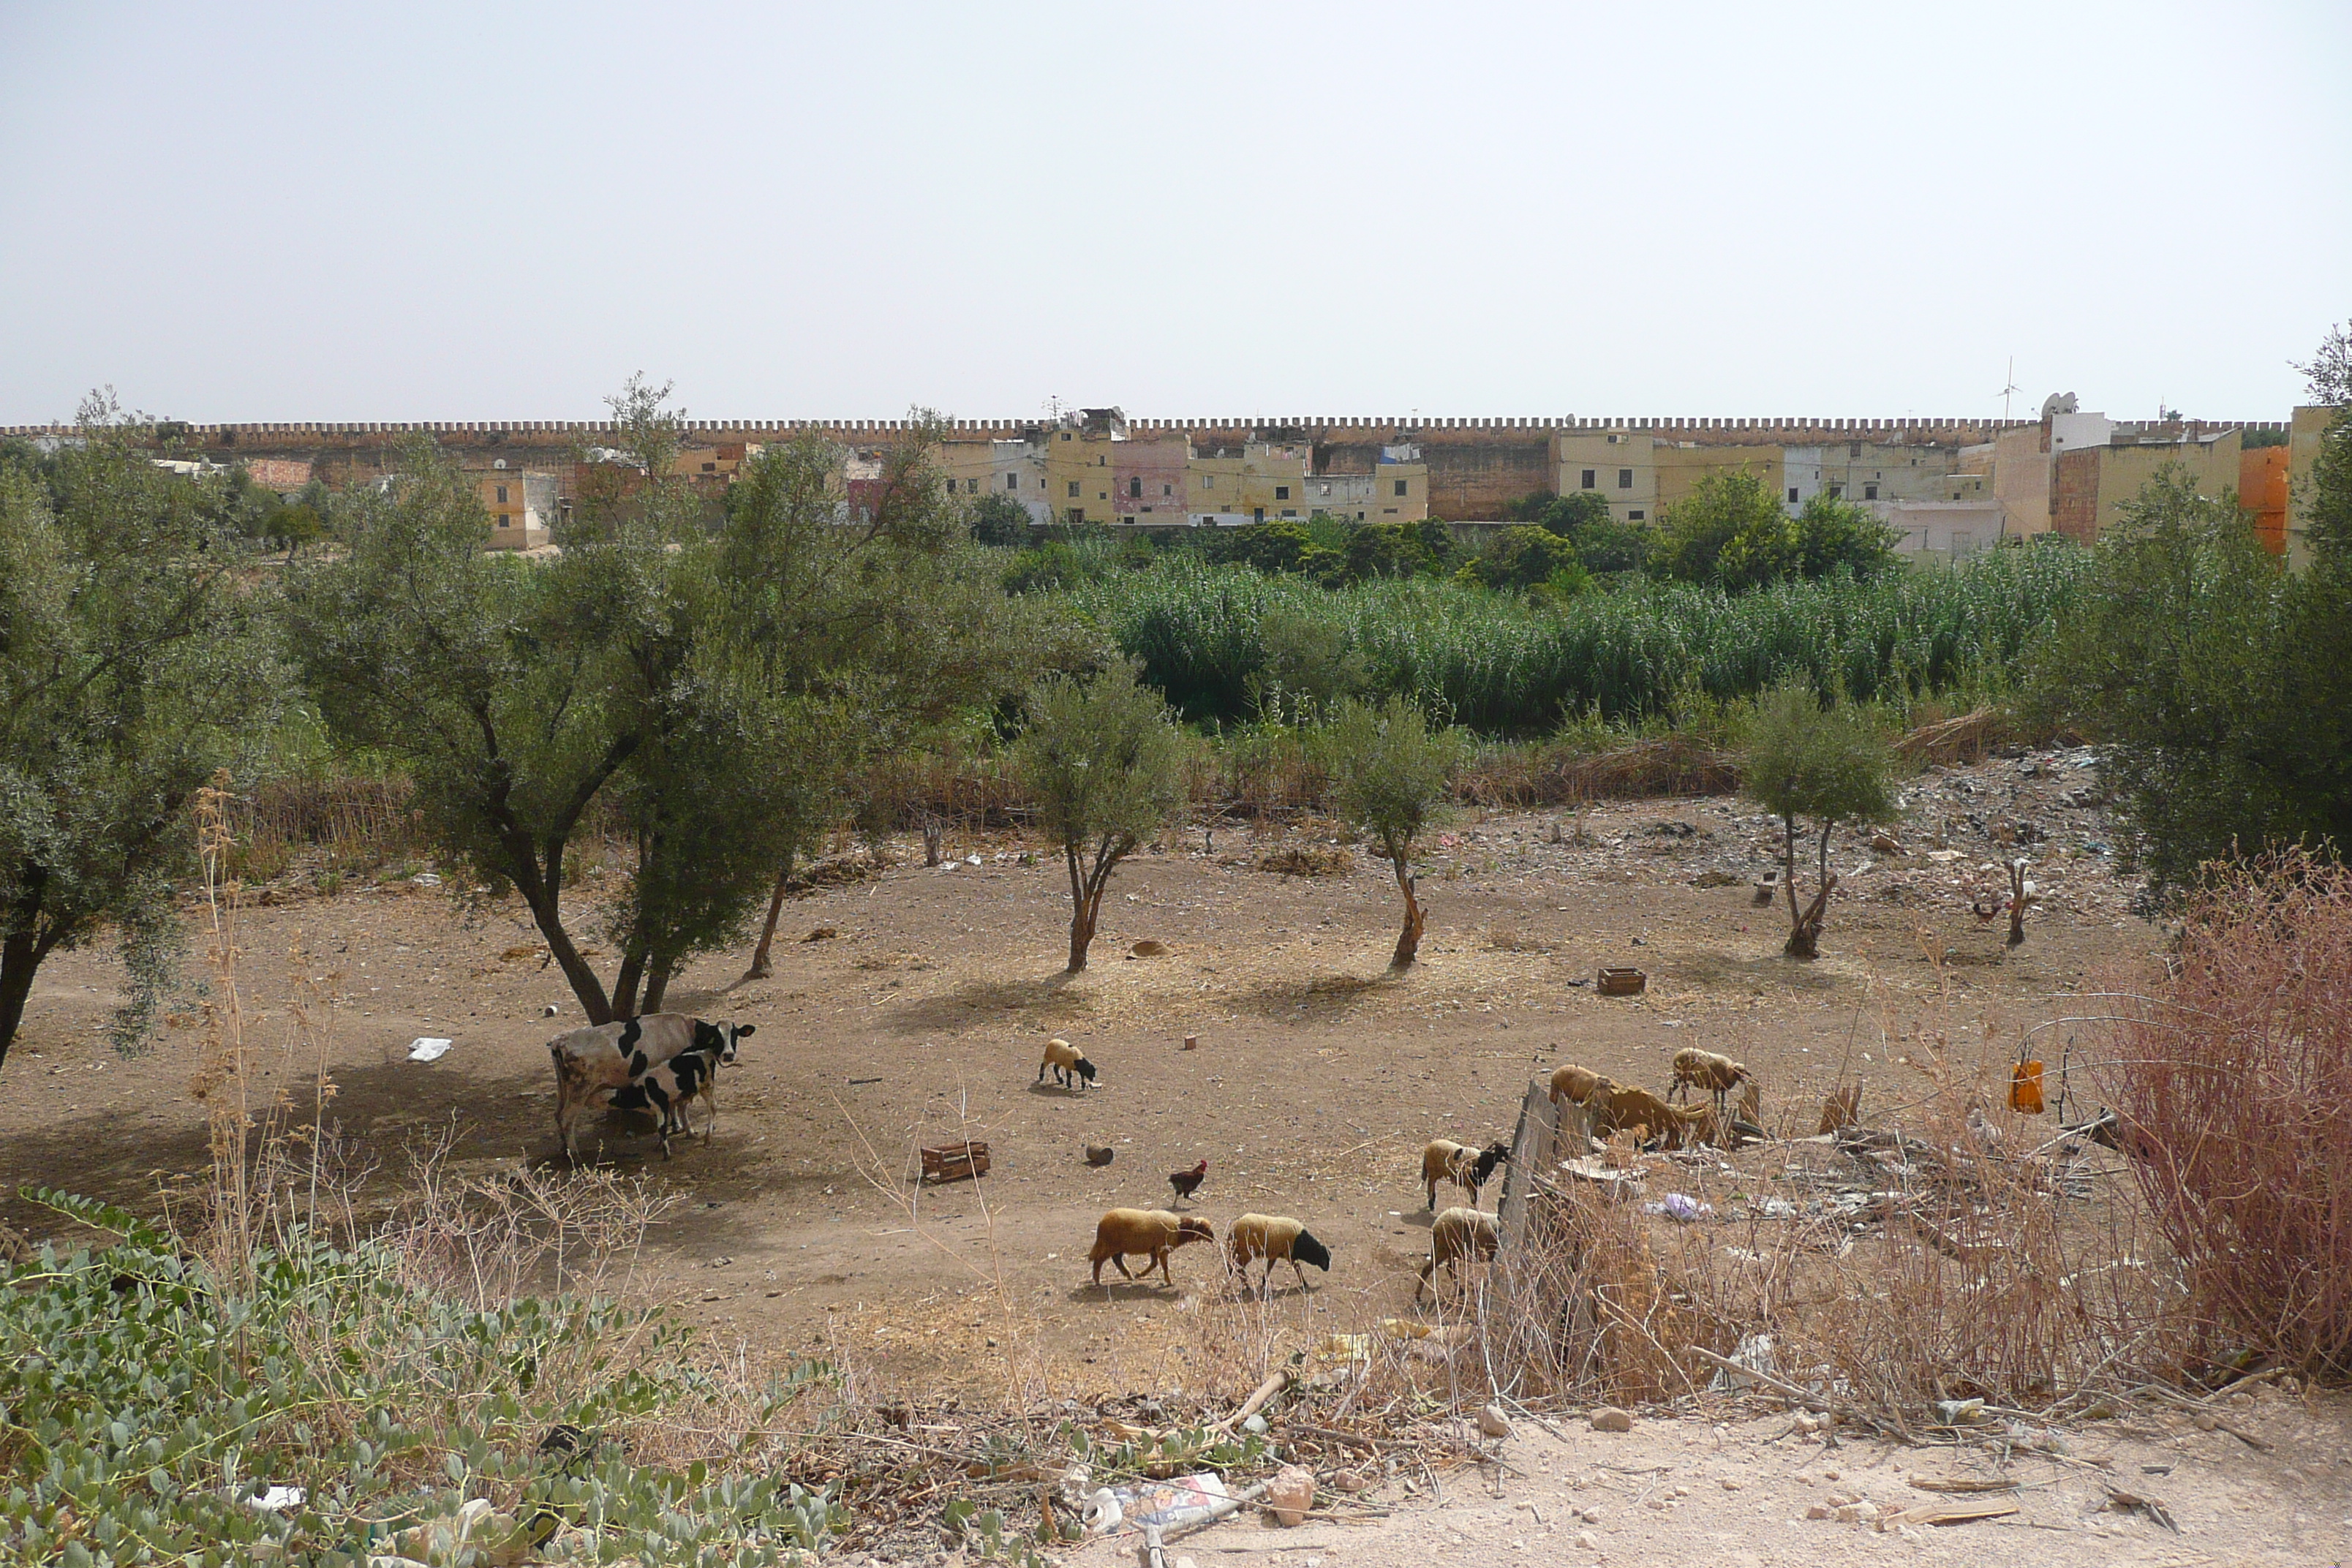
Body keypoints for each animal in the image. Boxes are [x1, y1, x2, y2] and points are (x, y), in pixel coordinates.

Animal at [548, 1020, 753, 1166]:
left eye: (734, 1036)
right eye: (717, 1037)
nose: (728, 1055)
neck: (685, 1029)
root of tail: (560, 1040)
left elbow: (674, 1104)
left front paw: (677, 1127)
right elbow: (681, 1105)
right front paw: (687, 1131)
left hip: (564, 1089)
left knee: (557, 1115)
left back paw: (564, 1150)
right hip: (580, 1090)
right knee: (567, 1118)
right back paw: (575, 1156)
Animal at [1082, 1213, 1213, 1288]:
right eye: (1204, 1228)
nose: (1213, 1237)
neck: (1180, 1228)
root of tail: (1101, 1224)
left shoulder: (1154, 1249)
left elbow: (1154, 1264)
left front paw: (1140, 1274)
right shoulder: (1162, 1249)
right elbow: (1164, 1266)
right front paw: (1169, 1282)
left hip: (1118, 1247)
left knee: (1117, 1260)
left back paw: (1129, 1276)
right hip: (1110, 1245)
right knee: (1099, 1260)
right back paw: (1097, 1280)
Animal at [1223, 1222, 1335, 1297]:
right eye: (1324, 1258)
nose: (1327, 1269)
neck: (1303, 1242)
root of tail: (1232, 1231)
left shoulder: (1275, 1255)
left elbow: (1269, 1268)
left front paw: (1264, 1281)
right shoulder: (1289, 1255)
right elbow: (1298, 1269)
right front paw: (1304, 1283)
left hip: (1239, 1252)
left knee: (1232, 1266)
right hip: (1245, 1252)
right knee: (1239, 1268)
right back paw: (1246, 1285)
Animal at [1411, 1142, 1505, 1213]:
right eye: (1499, 1151)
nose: (1508, 1159)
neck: (1482, 1159)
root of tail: (1427, 1149)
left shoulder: (1474, 1182)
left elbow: (1475, 1198)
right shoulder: (1470, 1181)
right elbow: (1473, 1199)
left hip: (1435, 1173)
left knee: (1432, 1185)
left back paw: (1433, 1201)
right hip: (1432, 1171)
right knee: (1430, 1187)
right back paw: (1431, 1205)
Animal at [1411, 1213, 1505, 1307]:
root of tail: (1436, 1224)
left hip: (1450, 1250)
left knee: (1449, 1268)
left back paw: (1460, 1290)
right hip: (1443, 1247)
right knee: (1427, 1269)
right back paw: (1418, 1295)